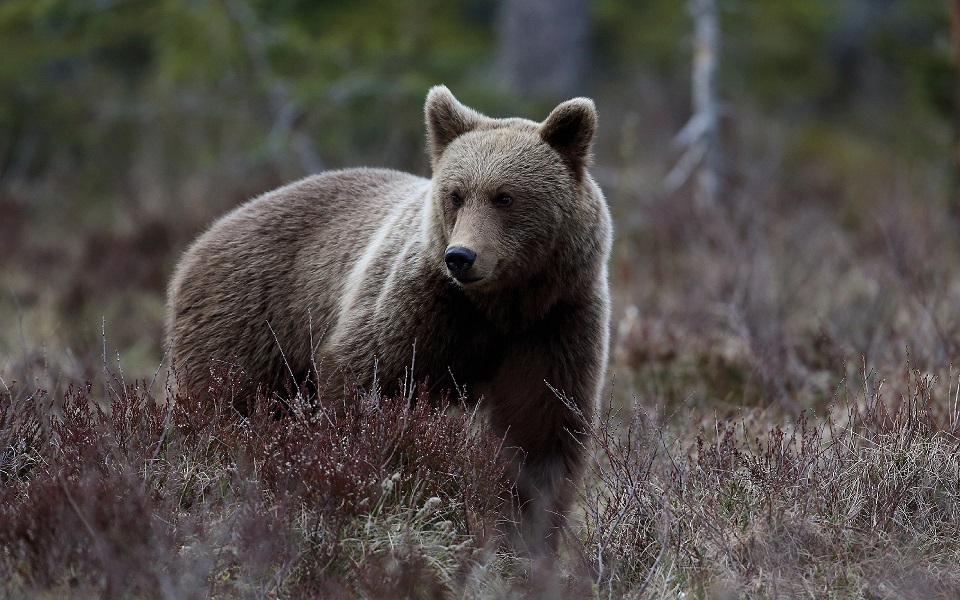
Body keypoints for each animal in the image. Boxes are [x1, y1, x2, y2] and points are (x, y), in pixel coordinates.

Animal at [164, 86, 612, 556]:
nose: (461, 256)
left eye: (504, 196)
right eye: (455, 194)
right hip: (248, 320)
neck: (501, 305)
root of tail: (200, 241)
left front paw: (528, 538)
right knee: (223, 402)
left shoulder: (555, 322)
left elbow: (542, 428)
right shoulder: (420, 305)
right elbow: (366, 380)